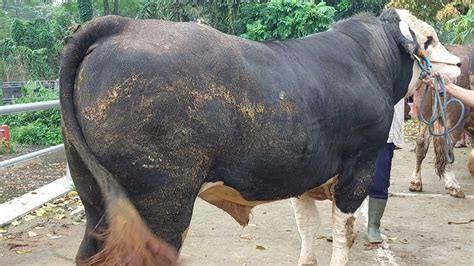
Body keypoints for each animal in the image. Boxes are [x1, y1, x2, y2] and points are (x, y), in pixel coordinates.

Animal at [59, 9, 418, 264]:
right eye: (426, 40)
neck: (371, 60)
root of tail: (123, 24)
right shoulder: (361, 165)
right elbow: (344, 232)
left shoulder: (307, 175)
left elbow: (308, 226)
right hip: (161, 205)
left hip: (96, 201)